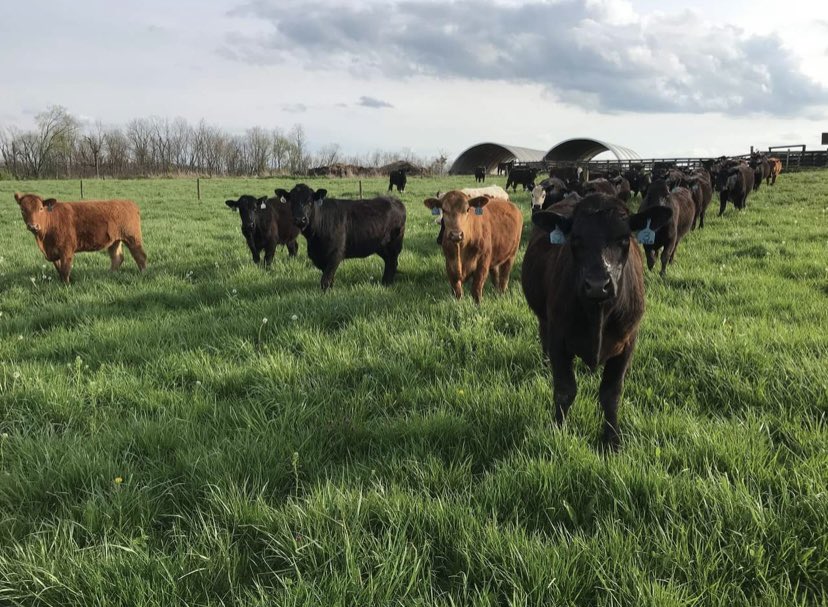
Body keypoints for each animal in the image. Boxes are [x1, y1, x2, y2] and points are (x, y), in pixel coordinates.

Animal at [13, 192, 147, 284]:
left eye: (41, 208)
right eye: (22, 210)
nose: (33, 226)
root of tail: (128, 202)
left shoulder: (66, 250)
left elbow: (65, 269)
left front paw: (66, 285)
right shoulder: (53, 252)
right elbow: (59, 269)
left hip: (132, 238)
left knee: (140, 256)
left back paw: (143, 274)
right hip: (114, 240)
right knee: (117, 258)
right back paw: (110, 274)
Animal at [275, 184, 405, 289]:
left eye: (310, 201)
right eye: (292, 202)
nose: (300, 219)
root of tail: (395, 200)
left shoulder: (336, 253)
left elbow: (325, 280)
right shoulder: (319, 257)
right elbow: (329, 278)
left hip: (394, 245)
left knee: (392, 262)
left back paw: (387, 284)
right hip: (381, 246)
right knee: (389, 262)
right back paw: (384, 283)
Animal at [521, 193, 673, 449]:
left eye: (624, 239)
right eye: (576, 239)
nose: (597, 284)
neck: (598, 315)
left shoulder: (628, 342)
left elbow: (611, 394)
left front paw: (612, 440)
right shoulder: (558, 339)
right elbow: (565, 390)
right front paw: (558, 429)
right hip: (543, 318)